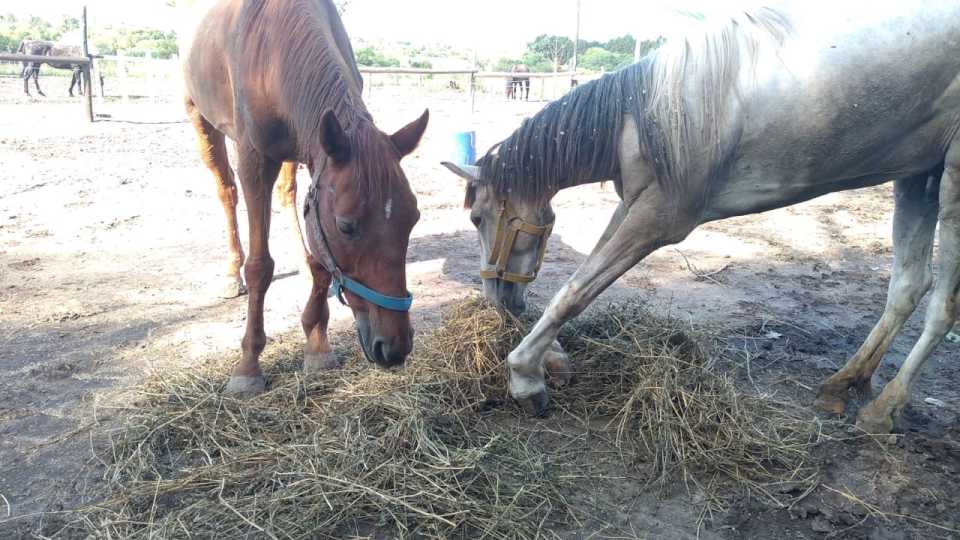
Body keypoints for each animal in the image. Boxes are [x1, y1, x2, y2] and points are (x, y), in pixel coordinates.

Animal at [183, 0, 428, 396]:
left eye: (413, 219)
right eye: (346, 226)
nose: (395, 347)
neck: (273, 47)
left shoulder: (312, 148)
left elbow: (320, 261)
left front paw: (316, 344)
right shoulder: (254, 160)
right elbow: (260, 266)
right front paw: (248, 364)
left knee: (287, 196)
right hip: (199, 118)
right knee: (226, 192)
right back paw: (230, 272)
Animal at [444, 2, 960, 434]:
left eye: (476, 217)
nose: (498, 298)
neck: (643, 114)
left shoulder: (660, 219)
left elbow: (574, 293)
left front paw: (525, 377)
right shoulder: (633, 206)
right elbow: (581, 281)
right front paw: (551, 358)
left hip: (951, 177)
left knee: (942, 305)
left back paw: (885, 407)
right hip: (919, 175)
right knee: (908, 286)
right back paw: (845, 382)